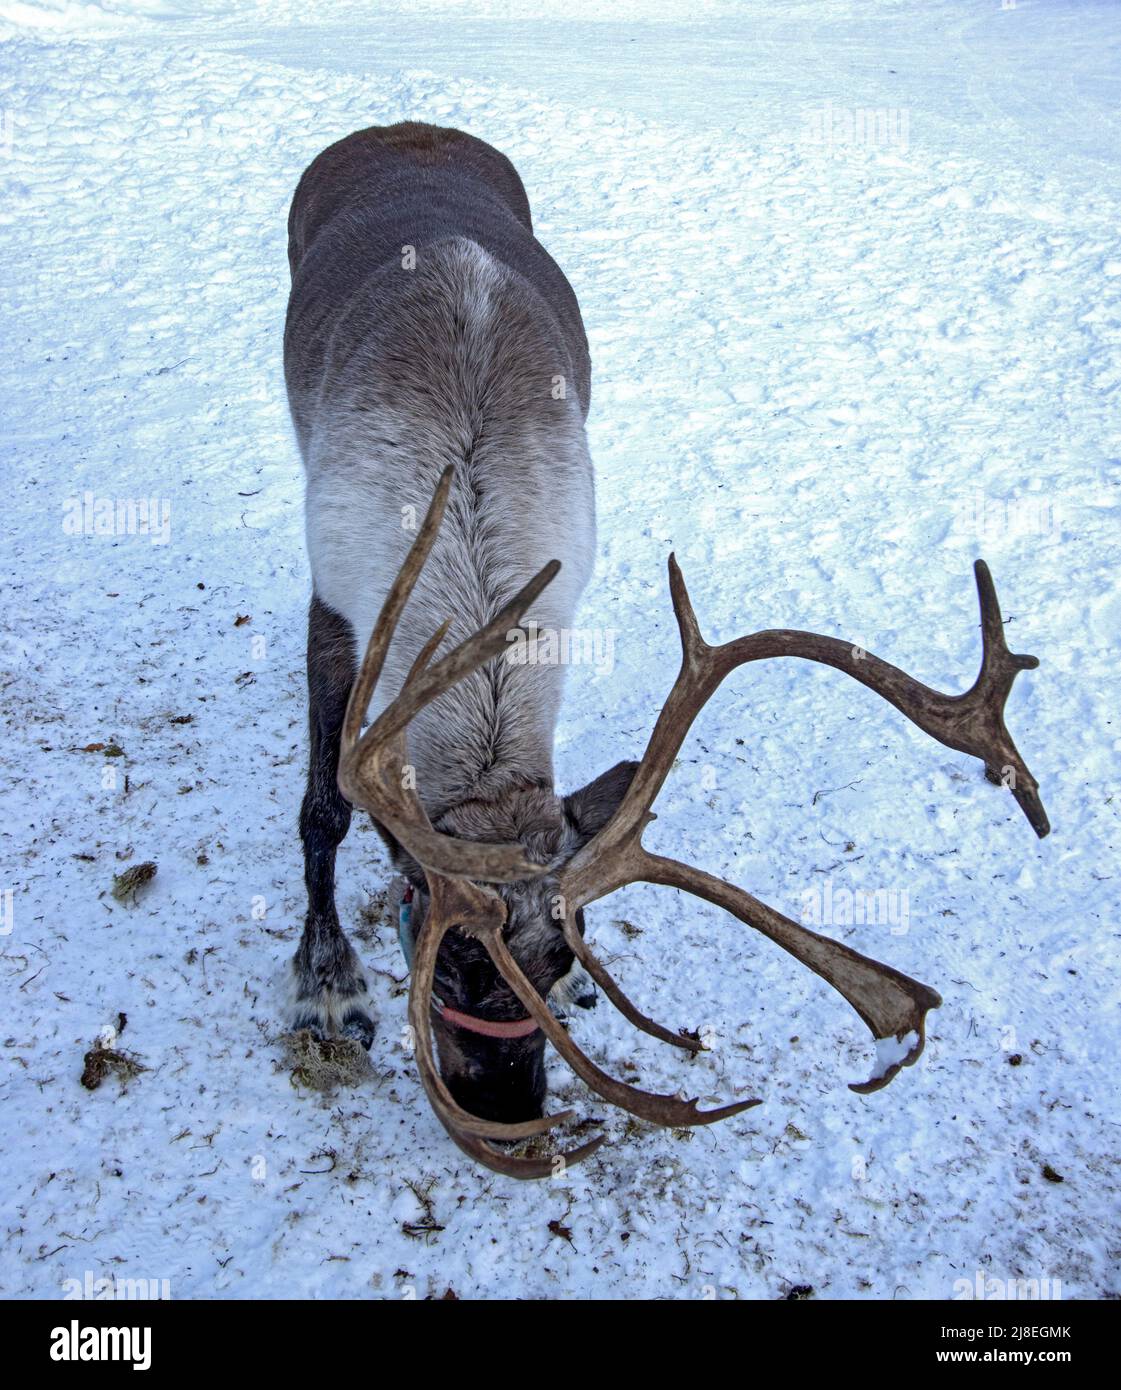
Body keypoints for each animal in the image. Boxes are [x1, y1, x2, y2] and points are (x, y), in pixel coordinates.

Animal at [284, 122, 1049, 1178]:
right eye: (446, 962)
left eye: (561, 960)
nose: (514, 1117)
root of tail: (405, 127)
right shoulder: (333, 606)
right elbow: (324, 810)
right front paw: (325, 983)